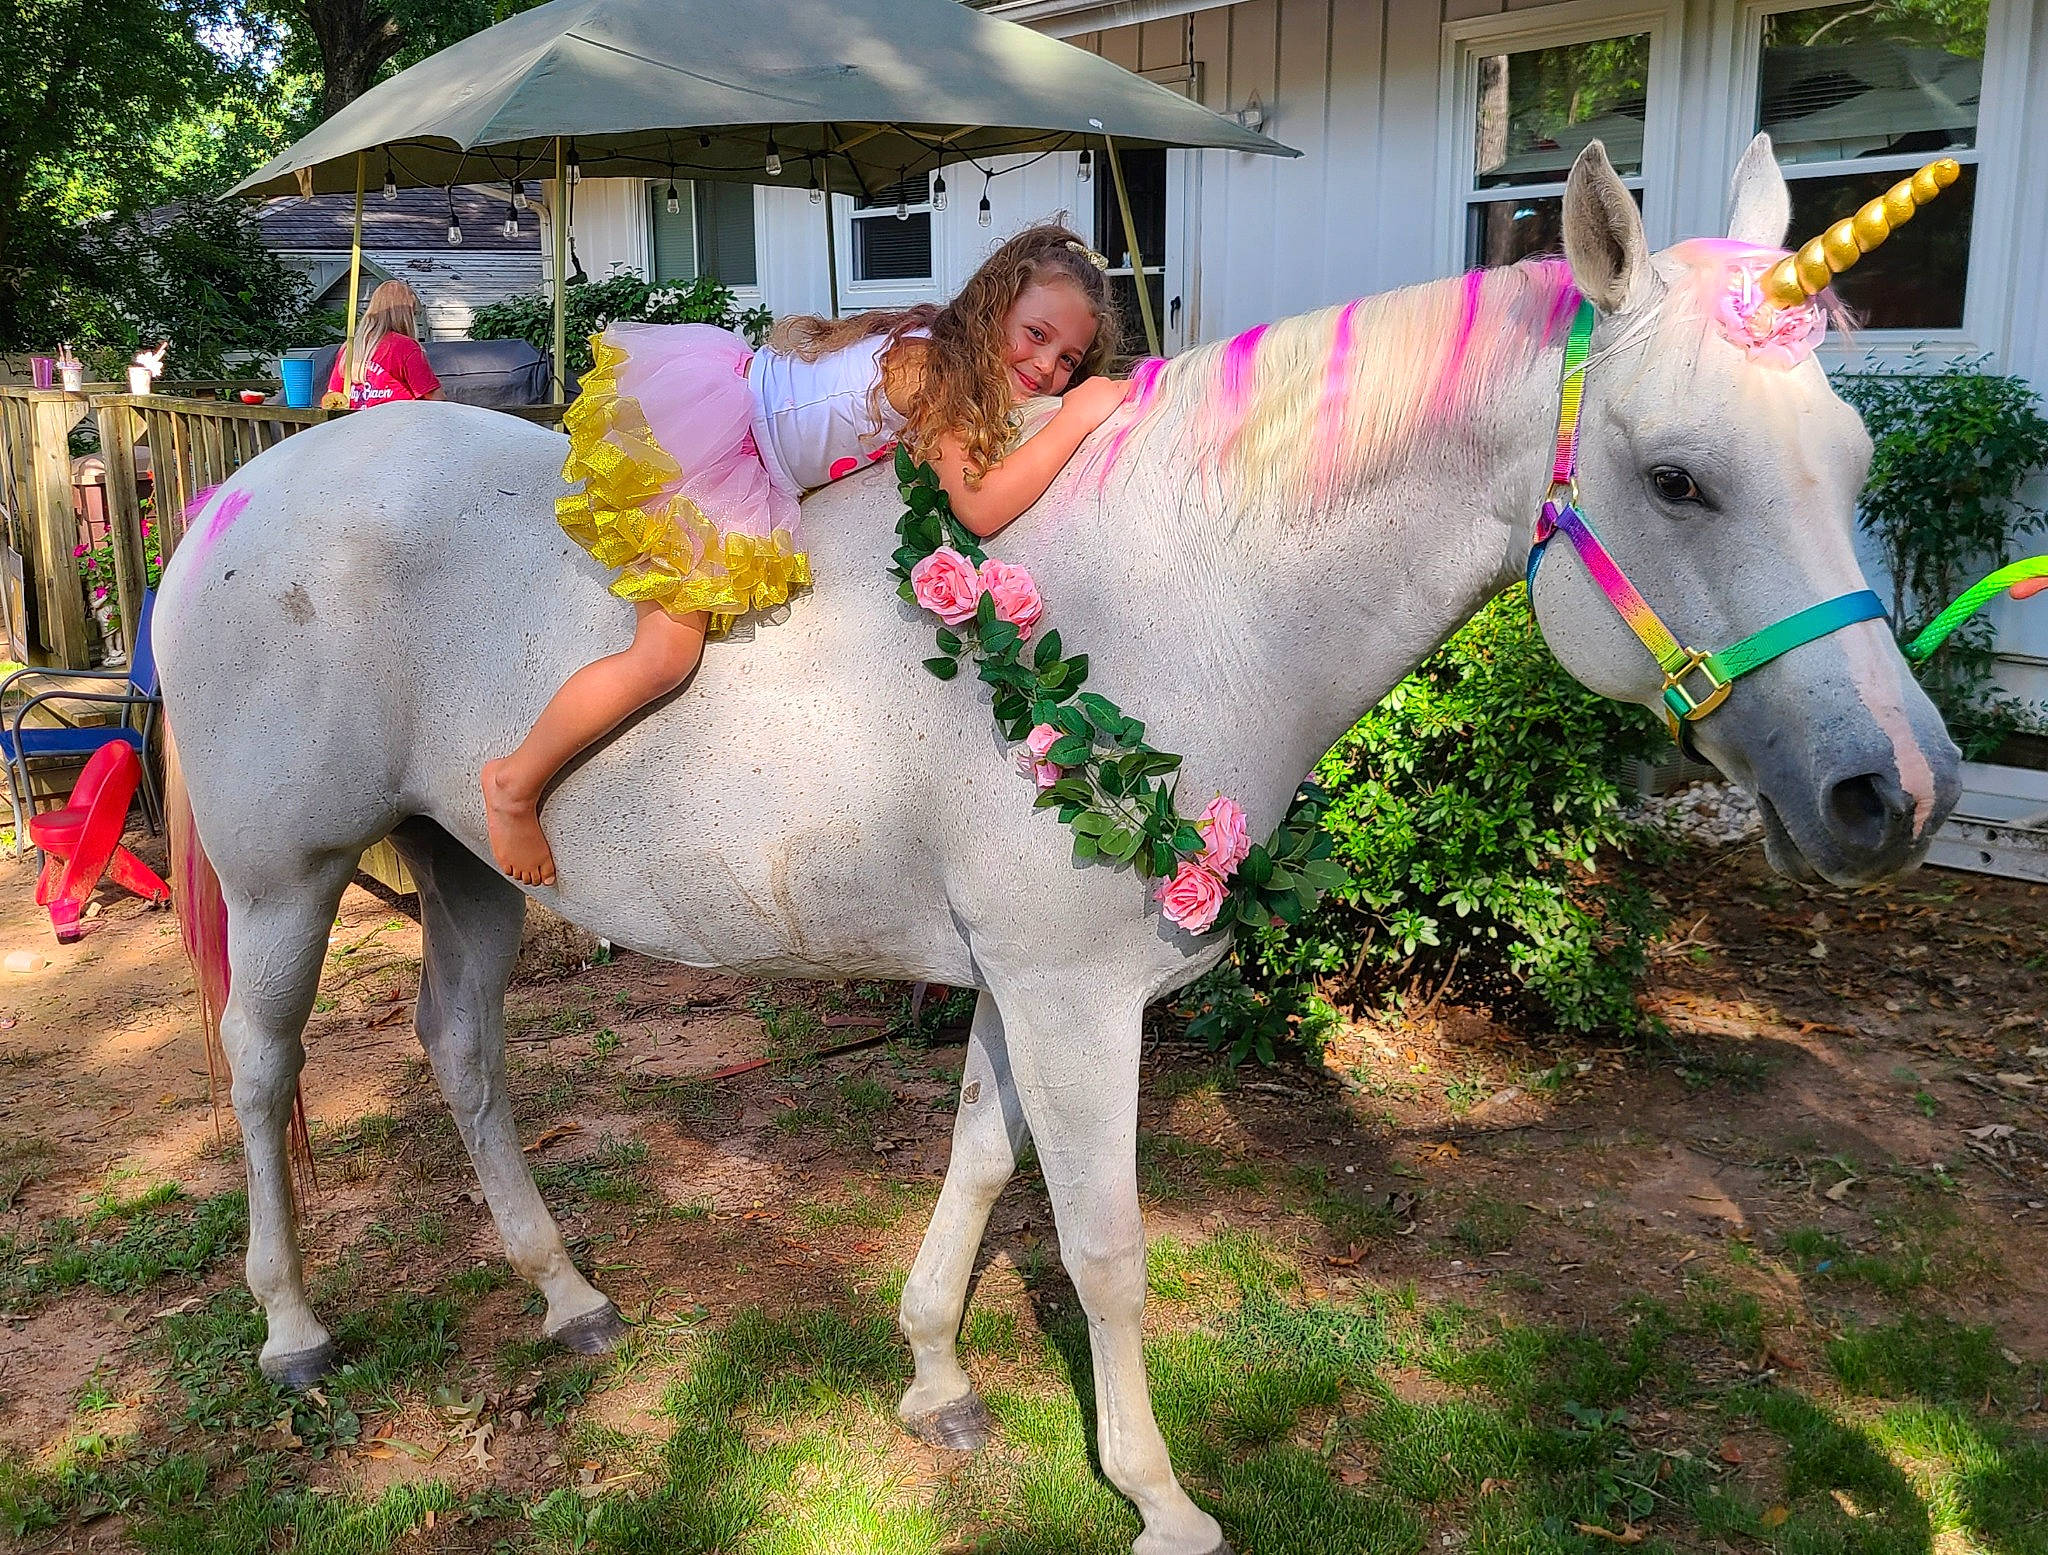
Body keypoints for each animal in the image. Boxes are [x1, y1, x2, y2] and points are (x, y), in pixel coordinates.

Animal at [155, 139, 1958, 1555]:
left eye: (1859, 461)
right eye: (1678, 478)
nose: (1895, 790)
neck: (1177, 590)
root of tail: (236, 501)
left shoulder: (1024, 986)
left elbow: (978, 1159)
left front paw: (936, 1379)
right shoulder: (1079, 998)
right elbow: (1105, 1247)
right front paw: (1157, 1497)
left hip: (464, 867)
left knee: (460, 1053)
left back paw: (567, 1293)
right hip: (286, 879)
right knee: (258, 1068)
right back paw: (293, 1326)